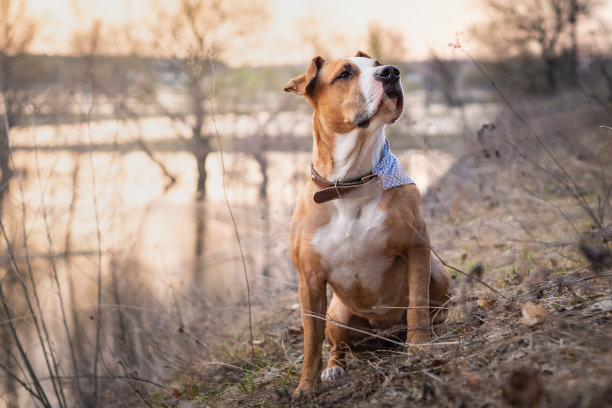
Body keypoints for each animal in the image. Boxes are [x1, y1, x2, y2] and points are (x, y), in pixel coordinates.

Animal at [284, 51, 452, 398]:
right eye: (344, 74)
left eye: (378, 64)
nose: (391, 73)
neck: (350, 183)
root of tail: (384, 333)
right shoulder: (309, 280)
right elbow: (311, 342)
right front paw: (305, 387)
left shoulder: (417, 247)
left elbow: (417, 305)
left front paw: (420, 348)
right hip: (337, 313)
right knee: (337, 345)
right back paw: (334, 368)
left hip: (439, 273)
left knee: (432, 309)